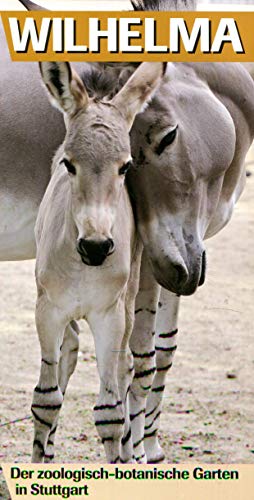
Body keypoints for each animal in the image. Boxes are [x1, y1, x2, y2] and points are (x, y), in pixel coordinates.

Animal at [31, 60, 164, 462]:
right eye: (69, 165)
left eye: (125, 167)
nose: (95, 247)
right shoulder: (49, 311)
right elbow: (45, 402)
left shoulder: (110, 315)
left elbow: (110, 412)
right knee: (69, 355)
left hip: (130, 303)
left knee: (127, 371)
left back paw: (132, 454)